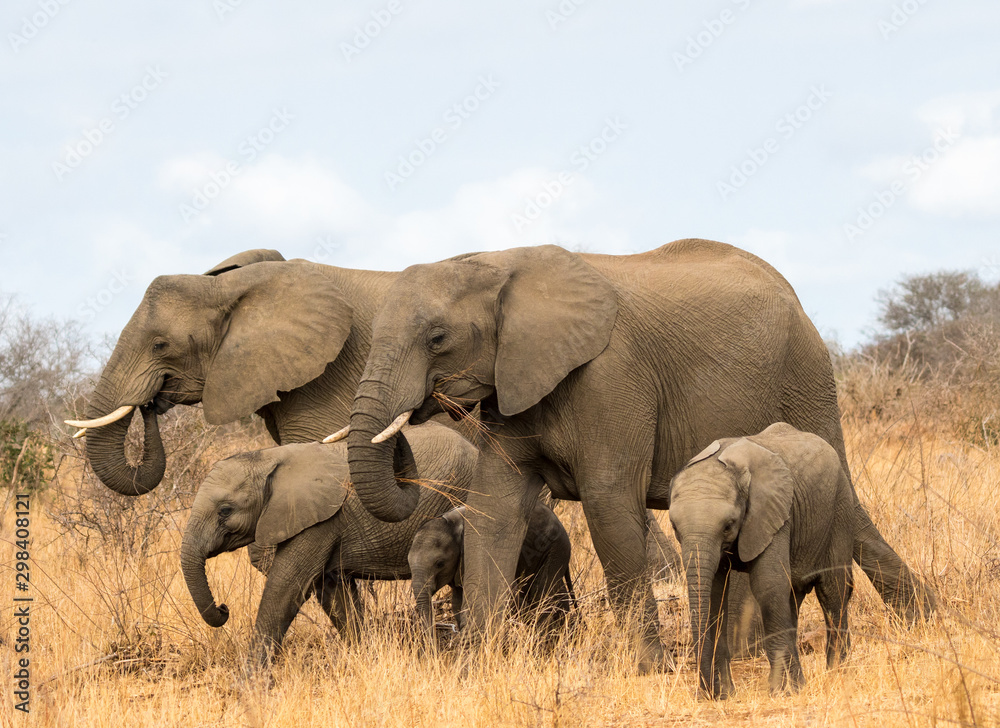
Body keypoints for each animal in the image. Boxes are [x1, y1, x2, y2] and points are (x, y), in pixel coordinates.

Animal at [181, 421, 478, 668]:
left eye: (225, 510)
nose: (224, 608)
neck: (268, 458)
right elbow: (333, 592)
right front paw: (364, 658)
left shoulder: (320, 520)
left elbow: (286, 586)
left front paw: (250, 683)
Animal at [669, 422, 854, 698]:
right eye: (674, 527)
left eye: (728, 525)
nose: (705, 693)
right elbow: (715, 595)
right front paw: (726, 695)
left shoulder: (773, 513)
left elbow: (768, 586)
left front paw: (780, 693)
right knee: (792, 598)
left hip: (839, 508)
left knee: (832, 591)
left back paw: (835, 673)